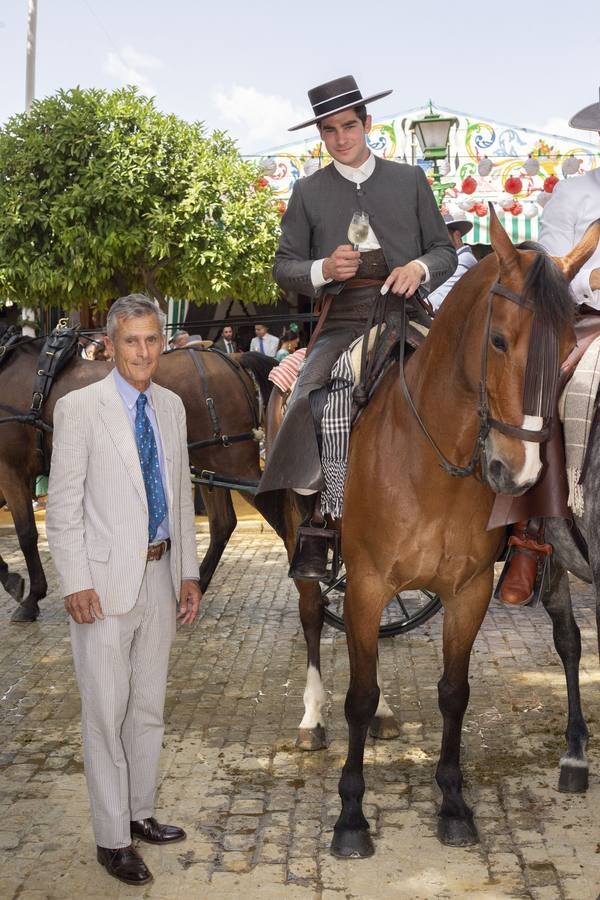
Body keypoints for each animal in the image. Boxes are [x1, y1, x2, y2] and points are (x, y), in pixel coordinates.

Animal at [0, 342, 268, 624]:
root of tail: (231, 359)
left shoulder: (10, 470)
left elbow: (26, 534)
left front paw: (30, 598)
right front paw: (12, 580)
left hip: (233, 462)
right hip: (210, 466)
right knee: (222, 524)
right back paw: (196, 587)